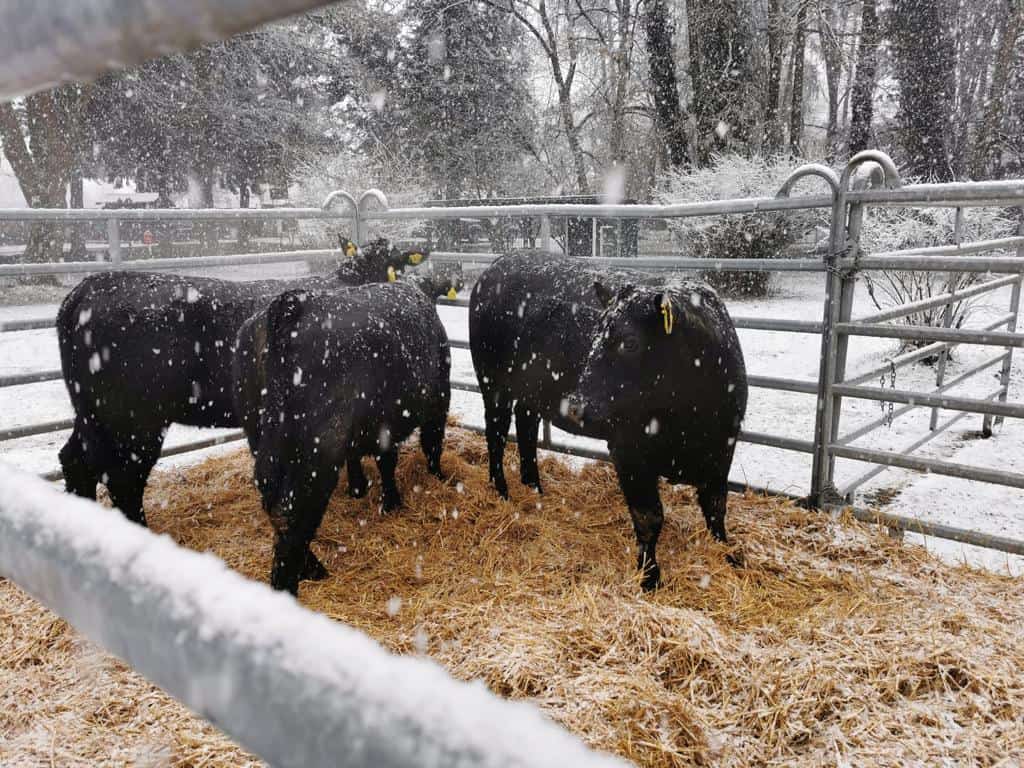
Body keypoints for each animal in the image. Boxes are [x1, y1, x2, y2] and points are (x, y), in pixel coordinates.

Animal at [56, 237, 425, 528]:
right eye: (397, 264)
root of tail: (85, 290)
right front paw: (359, 488)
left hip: (94, 415)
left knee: (75, 461)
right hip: (134, 421)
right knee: (122, 478)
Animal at [235, 282, 452, 593]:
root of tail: (293, 304)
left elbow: (374, 460)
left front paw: (363, 491)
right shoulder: (437, 400)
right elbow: (428, 446)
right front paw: (431, 482)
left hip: (261, 437)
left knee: (274, 505)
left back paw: (312, 568)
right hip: (318, 450)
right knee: (294, 515)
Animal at [468, 256, 749, 593]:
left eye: (630, 342)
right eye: (596, 336)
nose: (575, 405)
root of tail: (499, 263)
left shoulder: (722, 450)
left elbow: (716, 508)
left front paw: (727, 554)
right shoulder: (629, 449)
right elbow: (649, 517)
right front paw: (649, 575)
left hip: (530, 391)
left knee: (526, 428)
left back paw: (534, 486)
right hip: (493, 383)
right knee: (495, 433)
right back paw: (502, 490)